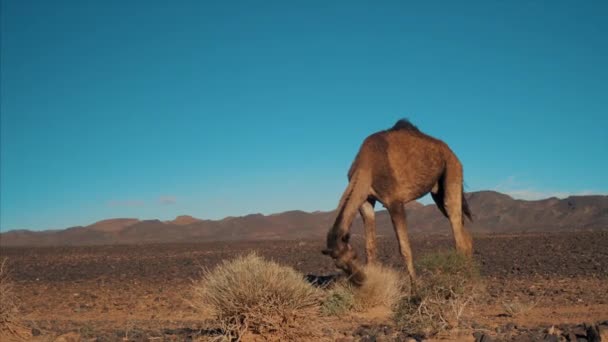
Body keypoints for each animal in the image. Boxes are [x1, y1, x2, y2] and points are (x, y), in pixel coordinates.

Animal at [320, 120, 472, 286]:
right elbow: (370, 246)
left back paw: (463, 277)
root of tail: (452, 153)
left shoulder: (394, 201)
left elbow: (405, 249)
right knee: (462, 229)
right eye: (339, 266)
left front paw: (415, 289)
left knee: (455, 222)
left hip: (452, 170)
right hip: (437, 191)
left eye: (354, 256)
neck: (368, 165)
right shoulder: (366, 201)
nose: (359, 280)